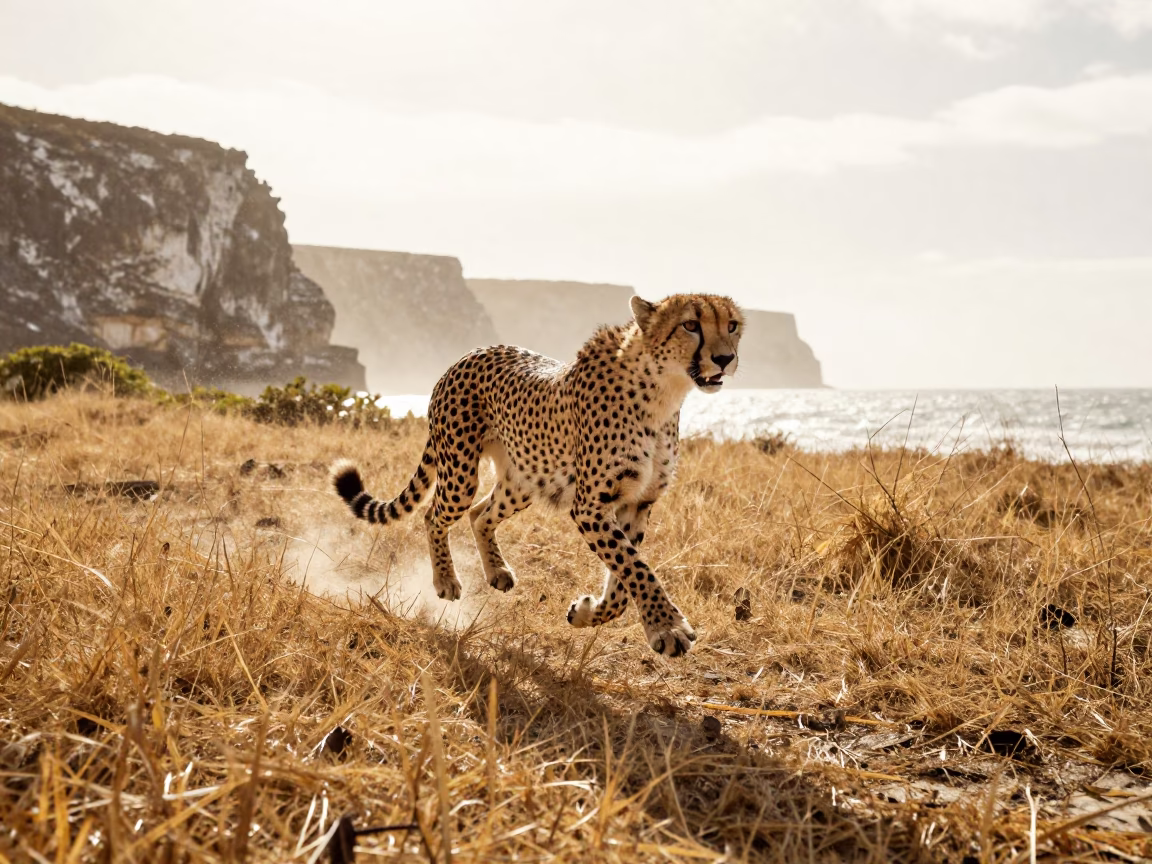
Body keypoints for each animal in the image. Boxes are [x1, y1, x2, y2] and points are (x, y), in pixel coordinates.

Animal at [331, 293, 744, 657]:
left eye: (732, 325)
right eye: (690, 325)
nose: (725, 358)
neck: (663, 392)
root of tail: (470, 353)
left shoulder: (637, 502)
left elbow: (623, 578)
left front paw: (589, 613)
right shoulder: (591, 506)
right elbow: (635, 567)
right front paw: (668, 627)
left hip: (525, 480)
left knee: (480, 514)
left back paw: (497, 570)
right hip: (461, 471)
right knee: (435, 514)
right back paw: (446, 580)